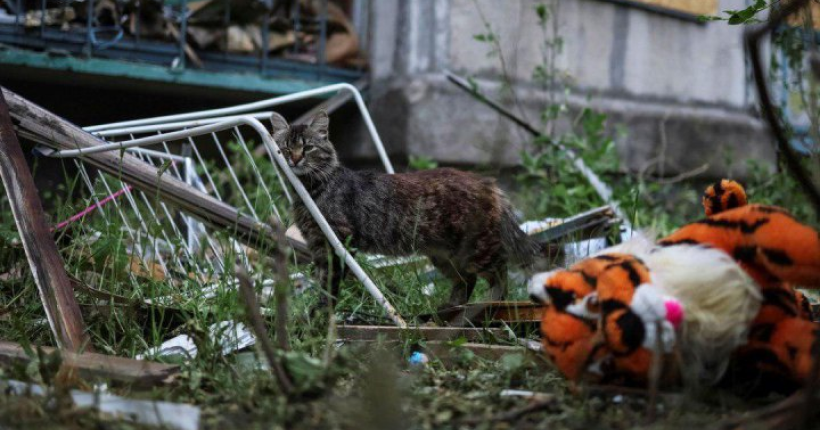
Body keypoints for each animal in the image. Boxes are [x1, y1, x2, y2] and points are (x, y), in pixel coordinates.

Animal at [270, 109, 540, 308]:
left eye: (308, 148)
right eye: (285, 147)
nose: (294, 159)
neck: (309, 189)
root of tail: (488, 184)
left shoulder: (337, 241)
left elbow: (330, 287)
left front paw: (321, 316)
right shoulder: (317, 245)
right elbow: (322, 282)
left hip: (477, 248)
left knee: (503, 272)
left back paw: (488, 304)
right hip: (444, 255)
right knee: (467, 280)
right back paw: (449, 308)